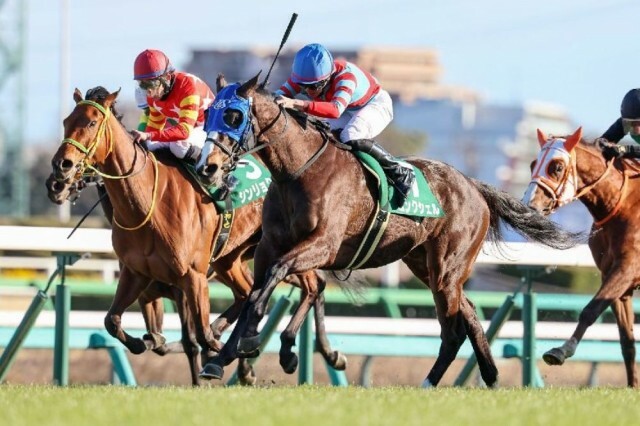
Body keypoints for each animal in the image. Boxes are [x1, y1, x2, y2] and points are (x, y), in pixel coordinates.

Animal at [48, 88, 352, 384]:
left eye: (91, 123)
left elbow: (196, 338)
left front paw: (219, 354)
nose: (58, 172)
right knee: (250, 293)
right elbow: (112, 321)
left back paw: (309, 353)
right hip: (231, 260)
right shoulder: (138, 275)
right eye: (65, 122)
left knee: (313, 285)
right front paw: (141, 343)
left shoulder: (191, 277)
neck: (147, 204)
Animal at [198, 73, 584, 386]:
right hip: (425, 265)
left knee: (452, 330)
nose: (208, 166)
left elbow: (270, 283)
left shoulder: (323, 244)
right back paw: (488, 376)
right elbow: (255, 292)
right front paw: (221, 357)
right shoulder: (269, 246)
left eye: (233, 116)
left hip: (446, 269)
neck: (298, 172)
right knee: (470, 314)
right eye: (208, 113)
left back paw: (429, 383)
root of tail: (473, 185)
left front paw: (248, 342)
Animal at [524, 127, 640, 386]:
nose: (528, 206)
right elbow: (627, 341)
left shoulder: (627, 269)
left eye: (557, 167)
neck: (619, 205)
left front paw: (560, 351)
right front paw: (633, 385)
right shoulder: (616, 278)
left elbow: (590, 310)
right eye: (533, 164)